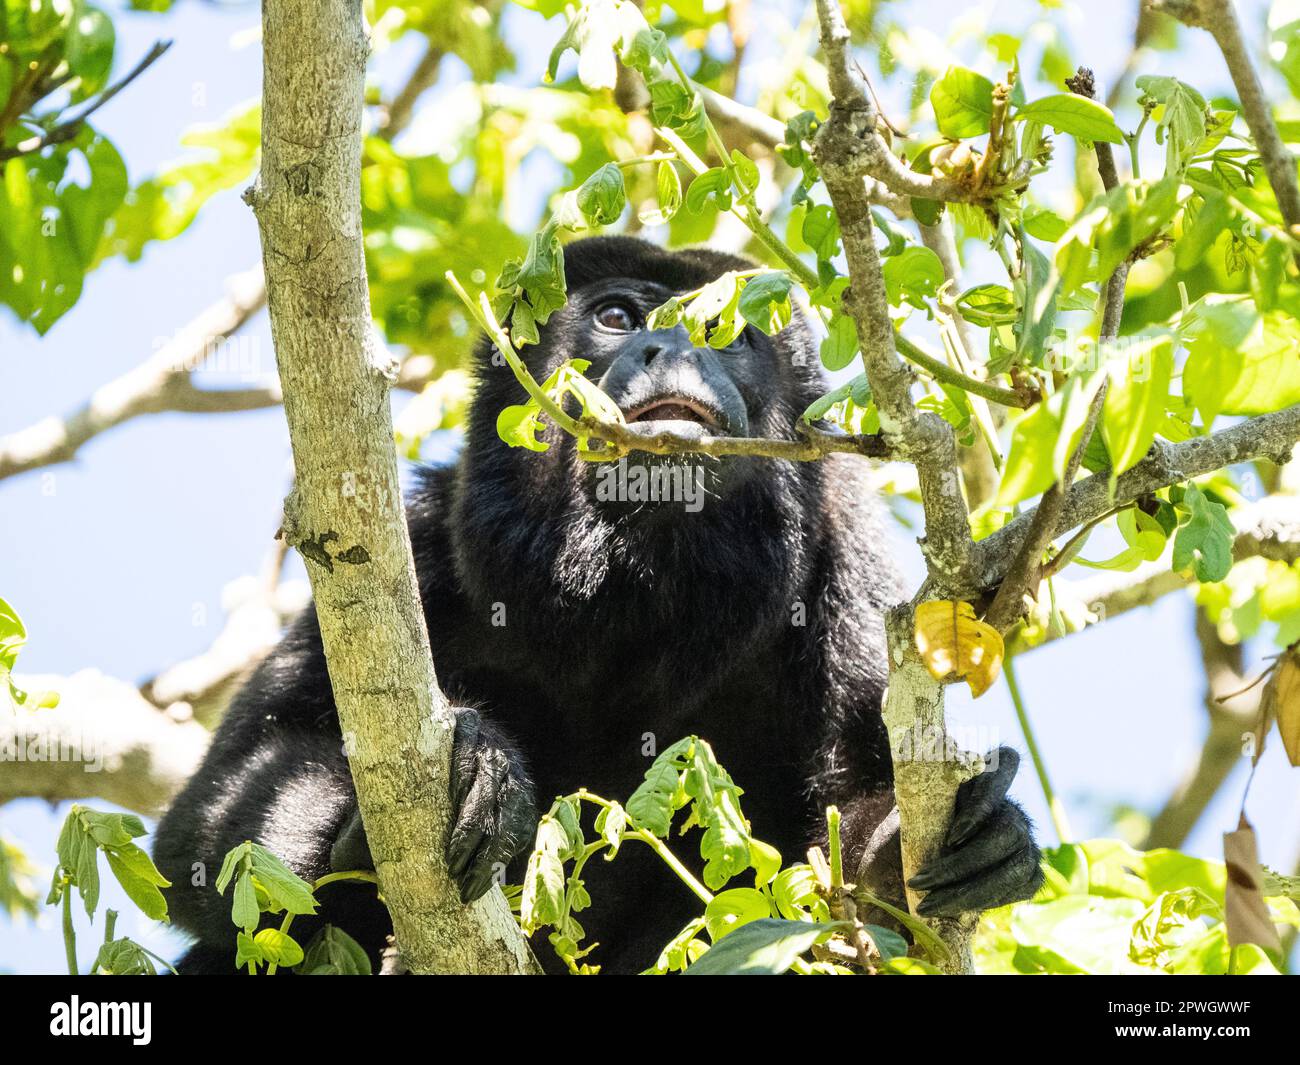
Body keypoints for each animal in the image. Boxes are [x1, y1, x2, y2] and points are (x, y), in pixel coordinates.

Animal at [154, 235, 1045, 972]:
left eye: (728, 331)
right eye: (617, 317)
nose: (674, 345)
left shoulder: (849, 560)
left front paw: (923, 851)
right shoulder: (426, 539)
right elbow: (207, 822)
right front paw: (475, 768)